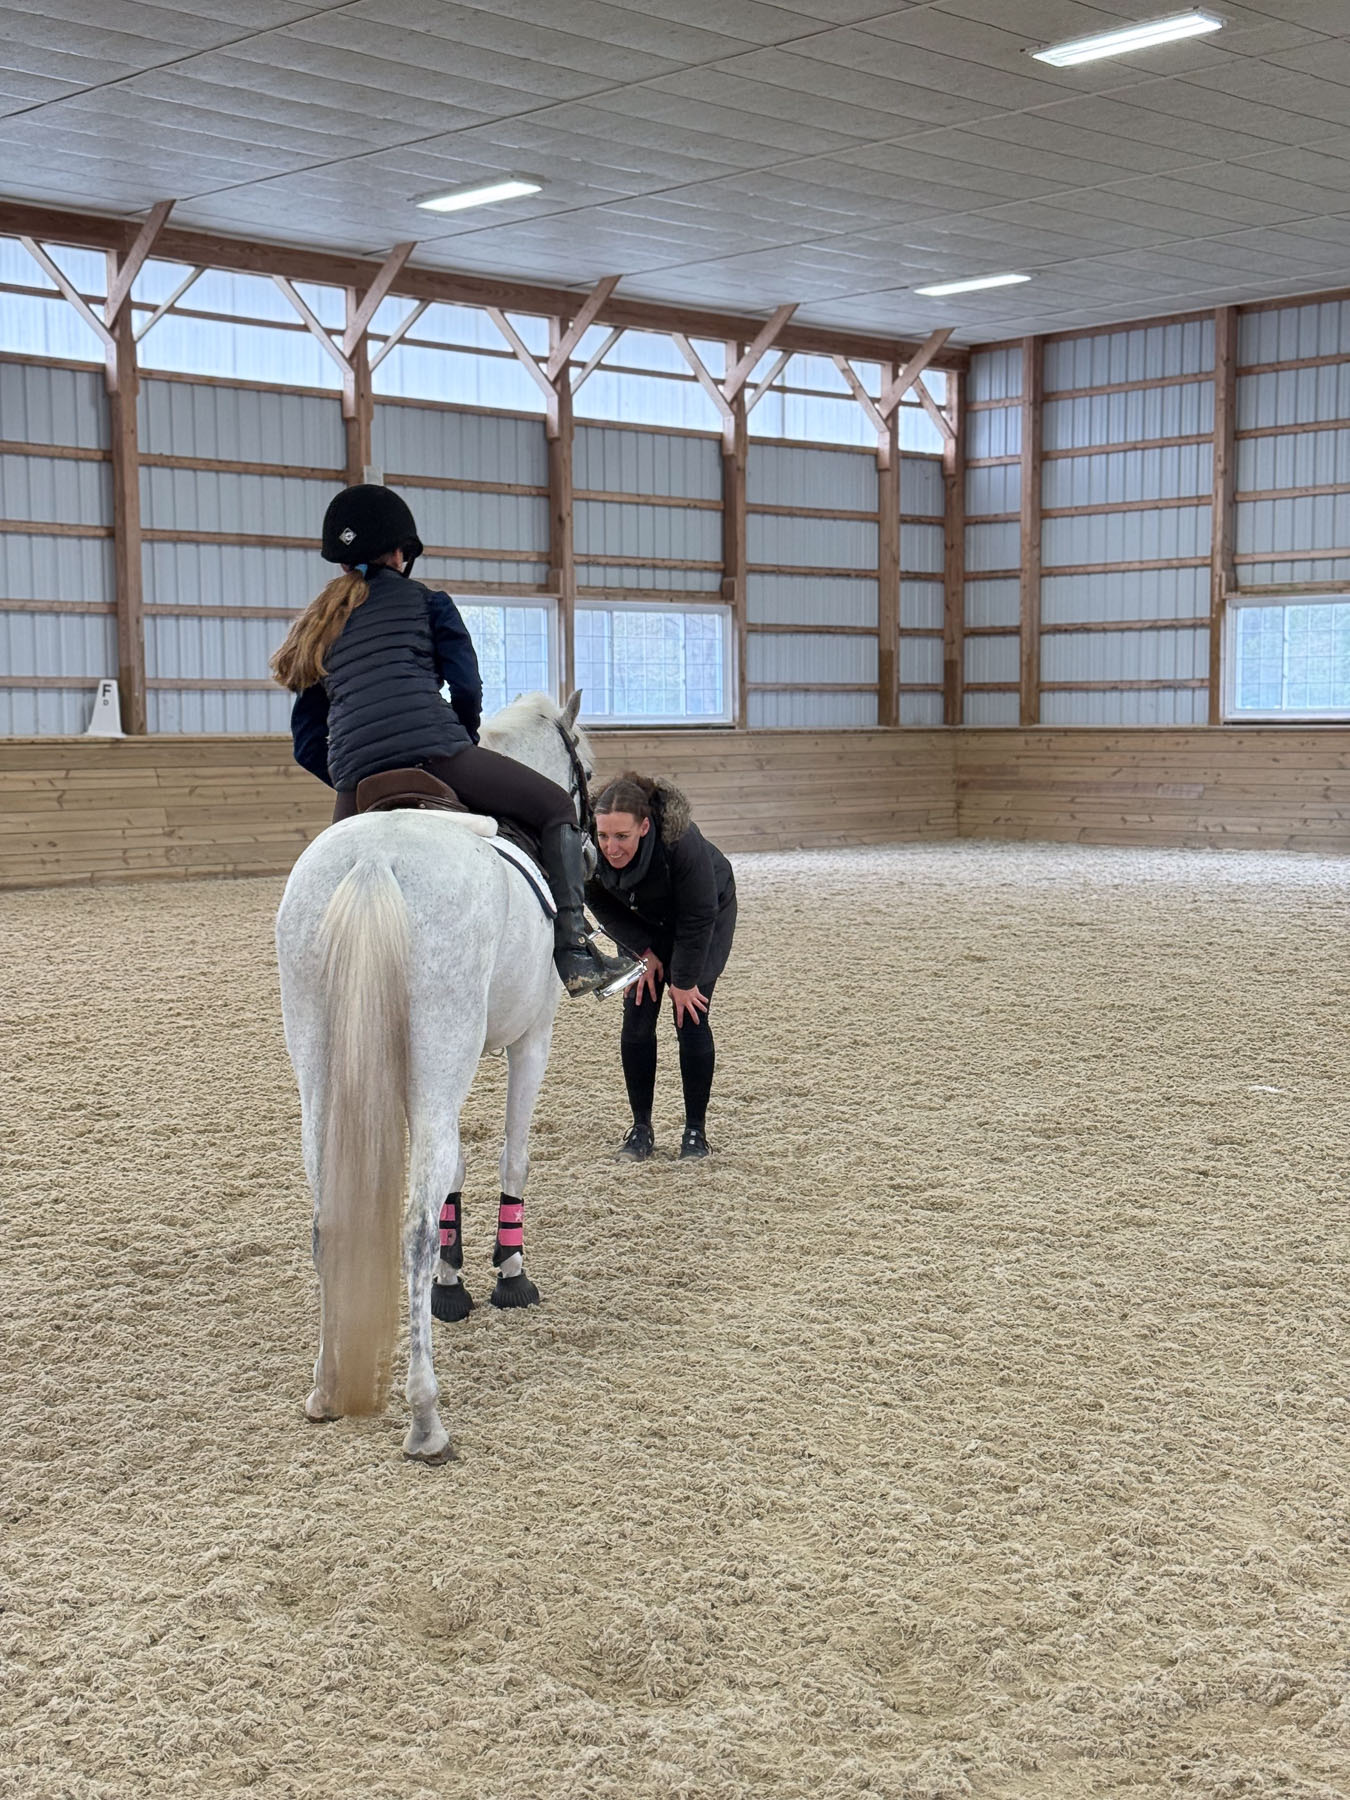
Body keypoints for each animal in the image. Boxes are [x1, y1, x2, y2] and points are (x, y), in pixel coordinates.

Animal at [275, 690, 595, 1464]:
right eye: (587, 773)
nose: (594, 850)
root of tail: (374, 858)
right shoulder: (531, 1040)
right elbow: (511, 1155)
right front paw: (508, 1272)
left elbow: (455, 1167)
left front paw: (455, 1285)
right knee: (413, 1229)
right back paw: (426, 1418)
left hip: (321, 1074)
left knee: (328, 1222)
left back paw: (325, 1390)